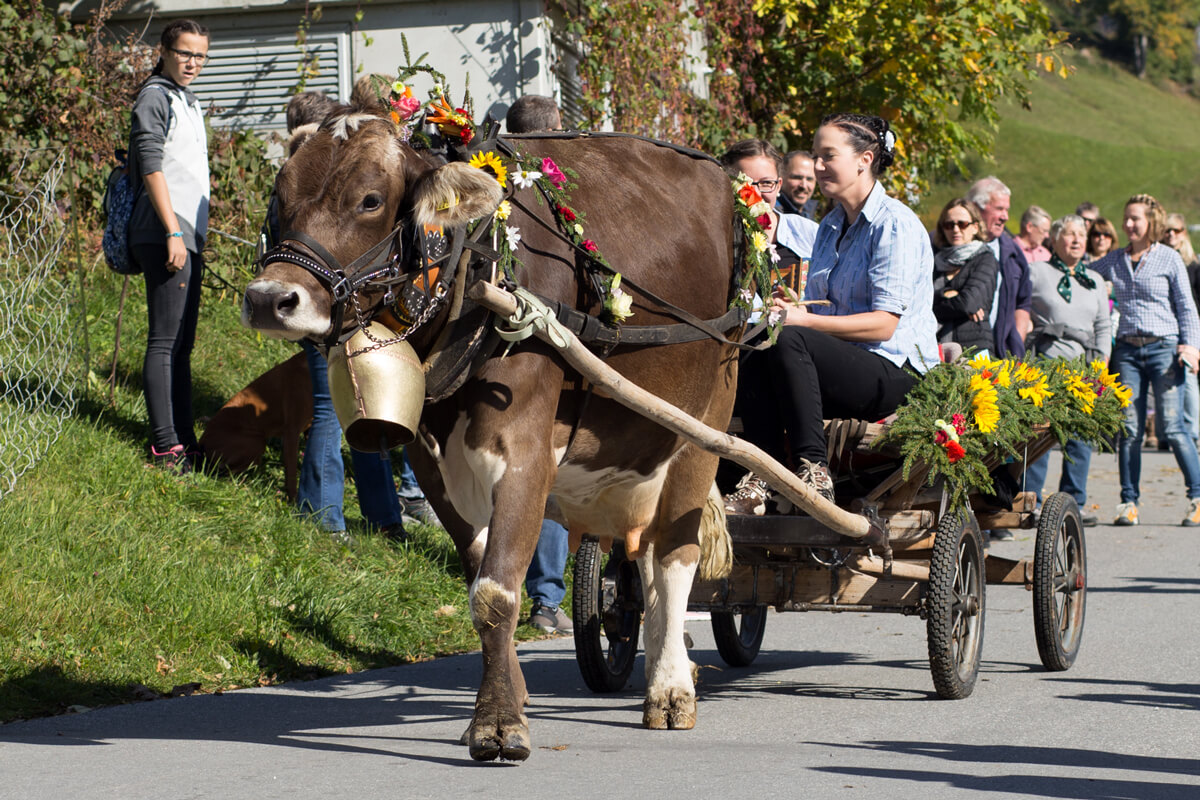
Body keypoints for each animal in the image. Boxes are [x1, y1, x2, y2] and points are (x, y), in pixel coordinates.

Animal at [243, 109, 739, 762]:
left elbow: (497, 590)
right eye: (280, 196)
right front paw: (508, 700)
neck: (475, 271)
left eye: (370, 199)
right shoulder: (433, 463)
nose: (269, 298)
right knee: (644, 562)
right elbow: (482, 574)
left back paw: (671, 688)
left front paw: (499, 724)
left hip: (705, 424)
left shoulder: (526, 453)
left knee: (673, 558)